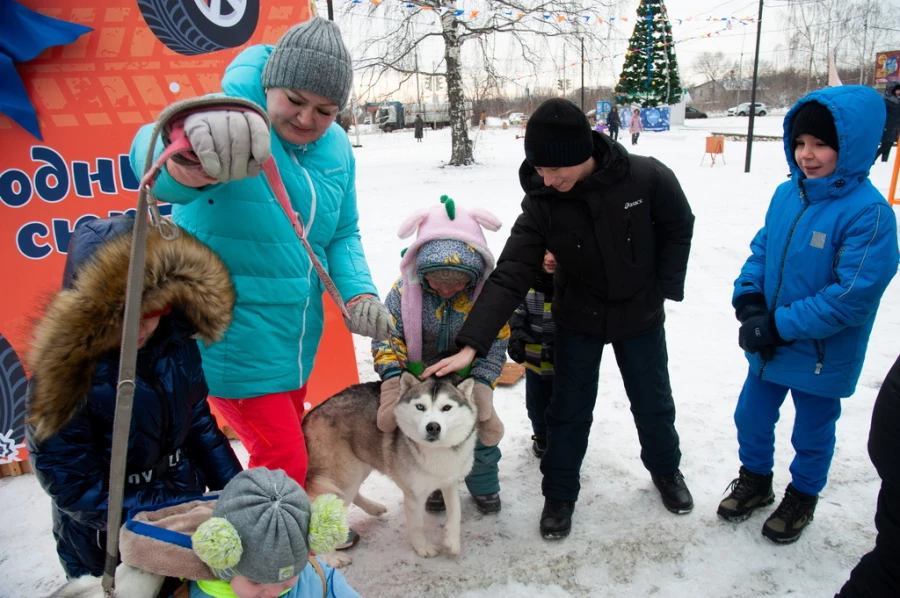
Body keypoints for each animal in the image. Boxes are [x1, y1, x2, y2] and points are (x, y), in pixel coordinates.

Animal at [304, 376, 478, 568]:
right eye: (420, 407)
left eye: (446, 407)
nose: (433, 427)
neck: (437, 450)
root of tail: (311, 413)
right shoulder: (414, 495)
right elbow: (417, 525)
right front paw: (422, 548)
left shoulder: (450, 481)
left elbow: (455, 511)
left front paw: (451, 541)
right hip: (345, 475)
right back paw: (331, 557)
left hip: (359, 466)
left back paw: (373, 508)